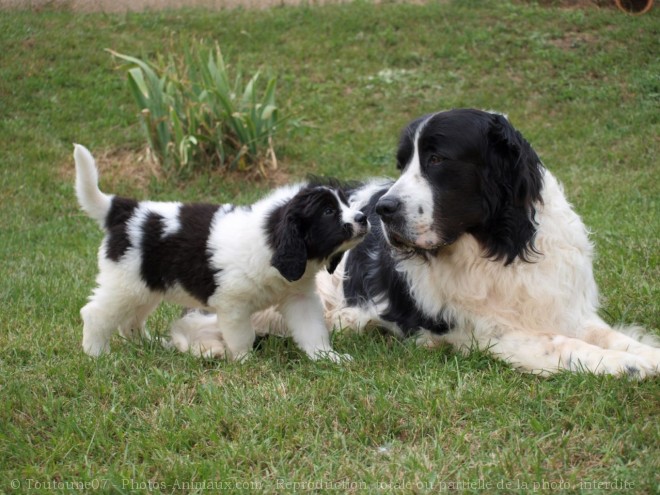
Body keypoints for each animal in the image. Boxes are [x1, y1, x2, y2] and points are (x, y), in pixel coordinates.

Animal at [75, 145, 372, 362]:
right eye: (329, 212)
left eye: (346, 204)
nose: (363, 218)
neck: (272, 241)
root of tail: (126, 210)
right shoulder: (233, 306)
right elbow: (242, 336)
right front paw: (244, 361)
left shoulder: (299, 298)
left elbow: (312, 330)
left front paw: (327, 357)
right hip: (124, 283)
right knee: (95, 313)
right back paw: (97, 355)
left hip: (145, 286)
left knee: (130, 320)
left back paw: (150, 344)